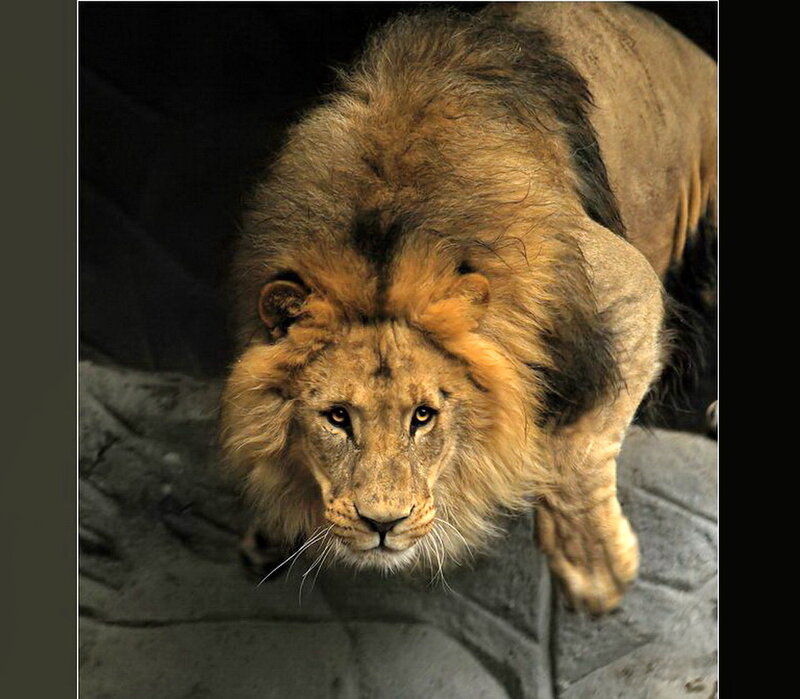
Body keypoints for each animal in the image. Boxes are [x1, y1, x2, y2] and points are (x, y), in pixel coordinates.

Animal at [220, 3, 716, 614]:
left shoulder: (626, 287)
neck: (385, 239)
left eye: (424, 415)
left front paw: (594, 572)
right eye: (336, 417)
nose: (382, 524)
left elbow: (572, 453)